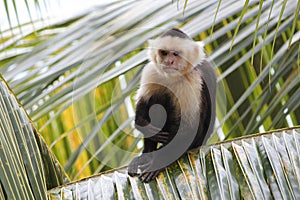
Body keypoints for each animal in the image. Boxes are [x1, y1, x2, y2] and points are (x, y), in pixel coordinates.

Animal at [126, 28, 216, 183]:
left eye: (175, 54)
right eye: (164, 52)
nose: (169, 61)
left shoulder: (192, 79)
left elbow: (188, 129)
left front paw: (158, 163)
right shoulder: (152, 71)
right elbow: (143, 102)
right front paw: (144, 125)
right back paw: (146, 154)